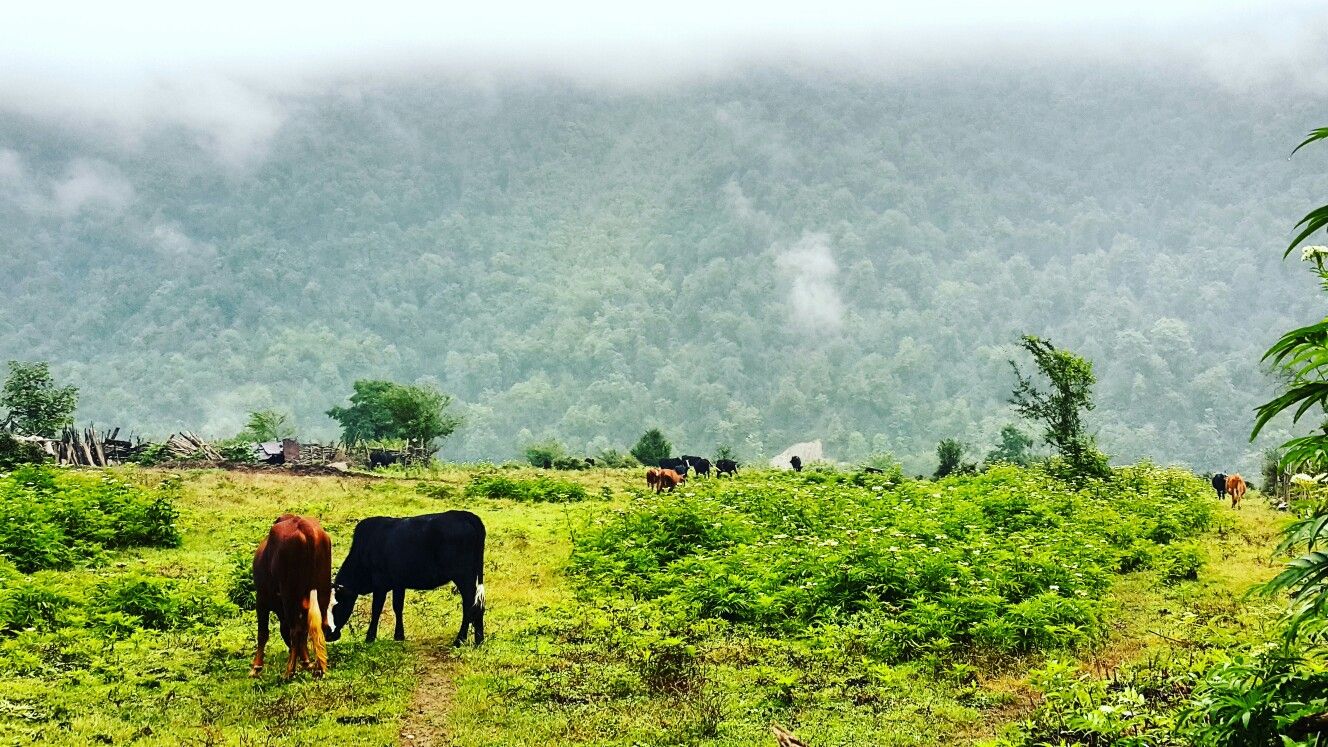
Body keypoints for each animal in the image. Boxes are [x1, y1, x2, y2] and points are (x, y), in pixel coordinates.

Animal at [249, 510, 334, 675]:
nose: (304, 660)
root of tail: (303, 525)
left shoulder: (261, 599)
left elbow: (263, 633)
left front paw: (256, 667)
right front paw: (307, 661)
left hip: (290, 594)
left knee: (295, 629)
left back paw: (289, 671)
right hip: (322, 590)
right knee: (321, 625)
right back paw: (319, 668)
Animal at [328, 507, 488, 643]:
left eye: (336, 605)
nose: (329, 635)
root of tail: (466, 515)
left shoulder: (380, 583)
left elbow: (376, 609)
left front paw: (370, 638)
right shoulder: (398, 583)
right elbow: (397, 607)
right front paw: (399, 636)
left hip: (464, 576)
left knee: (470, 604)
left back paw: (460, 640)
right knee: (479, 604)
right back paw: (479, 640)